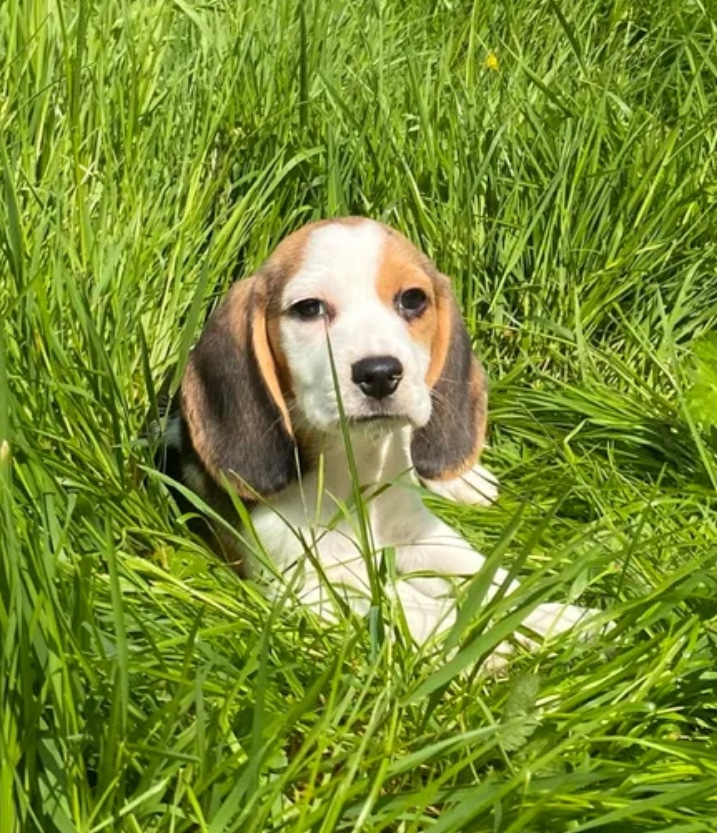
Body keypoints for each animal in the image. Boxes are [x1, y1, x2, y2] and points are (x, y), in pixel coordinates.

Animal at [164, 218, 592, 652]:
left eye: (413, 299)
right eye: (309, 308)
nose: (381, 373)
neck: (355, 463)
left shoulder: (421, 534)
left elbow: (491, 579)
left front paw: (565, 620)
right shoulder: (305, 578)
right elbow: (401, 603)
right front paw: (483, 646)